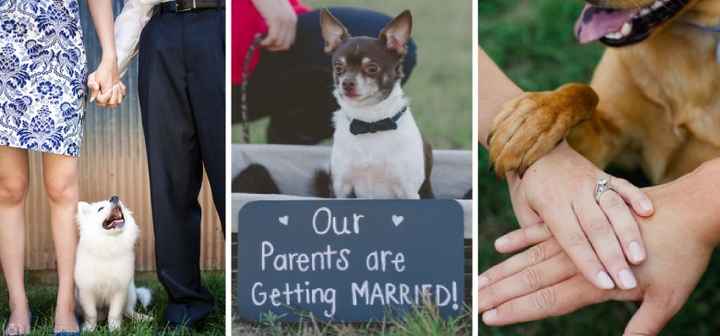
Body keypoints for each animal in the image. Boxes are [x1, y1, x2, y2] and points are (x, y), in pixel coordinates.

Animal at [75, 197, 153, 330]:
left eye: (123, 205)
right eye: (100, 208)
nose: (115, 197)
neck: (110, 244)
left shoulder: (120, 290)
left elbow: (114, 313)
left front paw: (115, 329)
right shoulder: (87, 291)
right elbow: (91, 313)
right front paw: (89, 328)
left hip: (130, 292)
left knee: (128, 311)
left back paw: (142, 318)